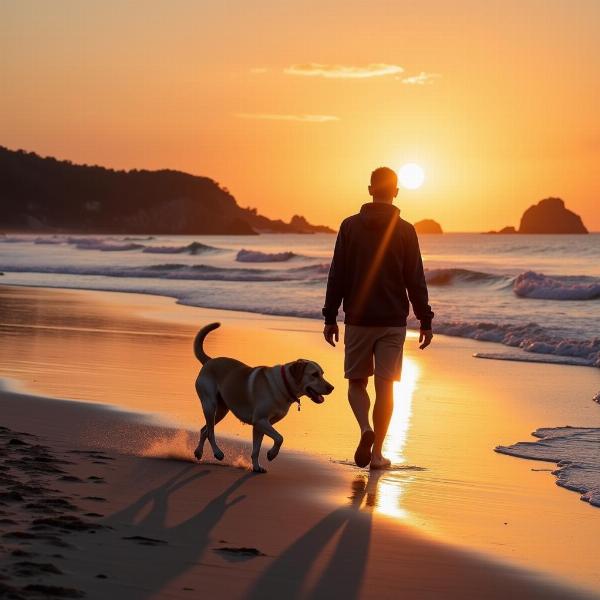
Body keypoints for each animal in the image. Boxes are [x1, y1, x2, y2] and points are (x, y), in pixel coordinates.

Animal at [192, 322, 332, 472]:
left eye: (322, 373)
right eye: (314, 374)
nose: (332, 388)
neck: (284, 384)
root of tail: (209, 361)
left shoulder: (261, 425)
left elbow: (257, 449)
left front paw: (257, 466)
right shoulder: (260, 420)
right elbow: (280, 438)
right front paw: (271, 454)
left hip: (222, 410)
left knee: (204, 429)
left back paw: (198, 452)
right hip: (209, 404)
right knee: (210, 431)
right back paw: (217, 452)